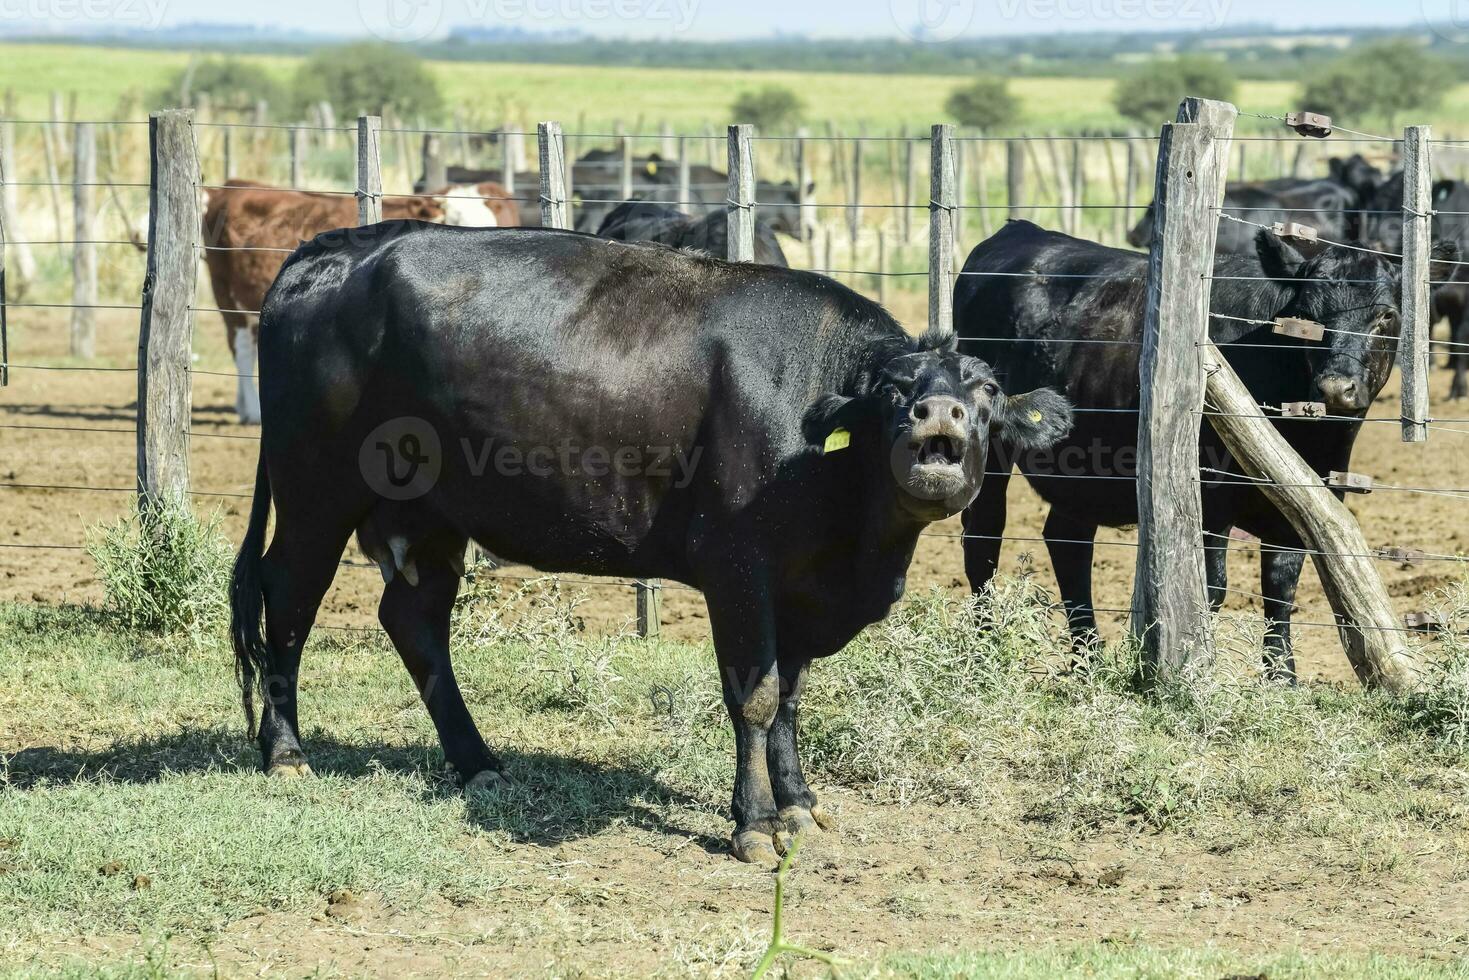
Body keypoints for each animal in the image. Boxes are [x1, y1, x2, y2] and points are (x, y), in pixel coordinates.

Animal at [235, 221, 1075, 863]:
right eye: (893, 393)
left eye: (986, 393)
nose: (937, 415)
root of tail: (331, 249)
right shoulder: (736, 569)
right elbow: (755, 695)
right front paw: (754, 823)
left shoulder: (800, 590)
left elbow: (791, 696)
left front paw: (799, 803)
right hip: (316, 490)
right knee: (289, 600)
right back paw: (286, 754)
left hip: (431, 516)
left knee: (413, 621)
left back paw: (477, 764)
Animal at [957, 221, 1451, 681]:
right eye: (1307, 316)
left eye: (1386, 315)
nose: (1335, 387)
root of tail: (1021, 230)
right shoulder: (1210, 497)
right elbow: (1210, 586)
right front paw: (1198, 669)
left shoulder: (1304, 500)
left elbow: (1281, 586)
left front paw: (1281, 678)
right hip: (990, 448)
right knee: (983, 535)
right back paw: (984, 650)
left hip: (1080, 472)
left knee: (1068, 540)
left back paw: (1089, 659)